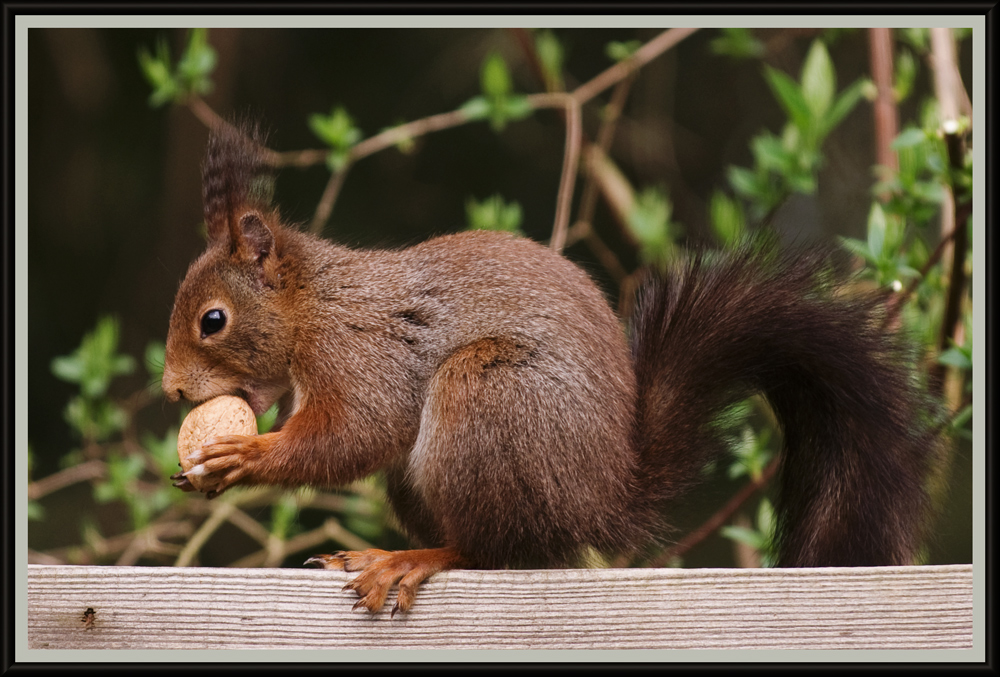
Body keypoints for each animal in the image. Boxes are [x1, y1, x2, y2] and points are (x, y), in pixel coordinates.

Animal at [162, 120, 936, 612]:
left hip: (488, 393)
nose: (171, 390)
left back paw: (415, 559)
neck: (312, 304)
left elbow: (357, 432)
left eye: (212, 320)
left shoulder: (361, 350)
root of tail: (602, 498)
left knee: (493, 553)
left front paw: (244, 456)